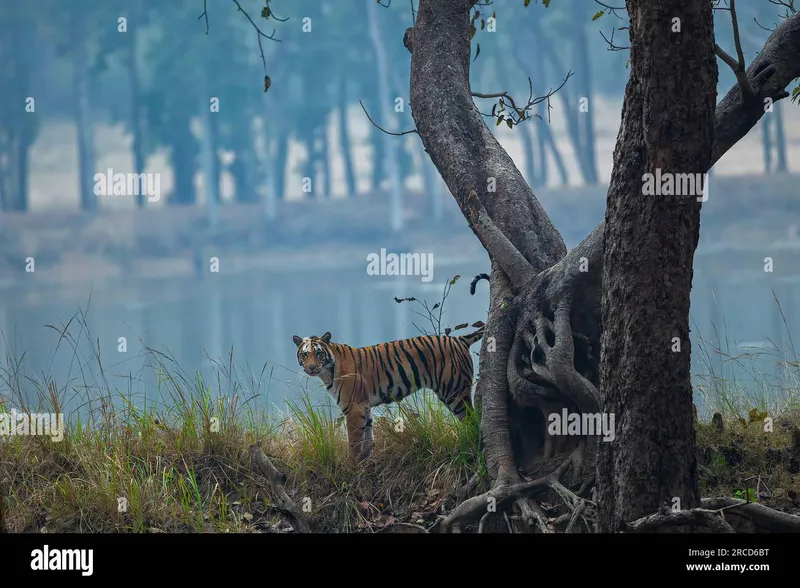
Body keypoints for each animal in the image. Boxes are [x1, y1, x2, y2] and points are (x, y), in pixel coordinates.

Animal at [292, 328, 484, 462]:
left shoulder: (354, 408)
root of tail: (459, 339)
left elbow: (354, 441)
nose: (311, 368)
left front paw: (351, 466)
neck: (327, 372)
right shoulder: (364, 407)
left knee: (472, 420)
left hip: (454, 391)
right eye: (305, 354)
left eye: (318, 353)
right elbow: (367, 438)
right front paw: (365, 463)